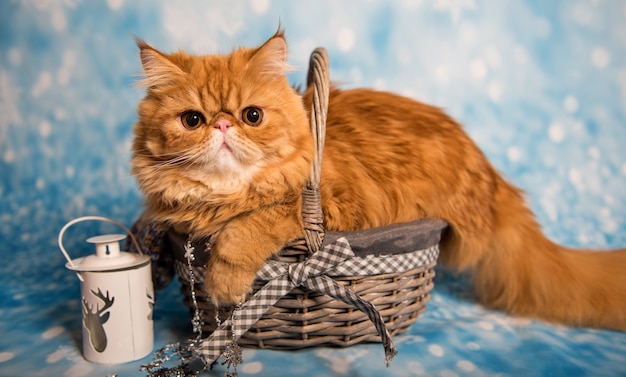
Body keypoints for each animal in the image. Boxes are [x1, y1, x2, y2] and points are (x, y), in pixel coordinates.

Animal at [132, 30, 624, 328]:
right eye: (192, 120)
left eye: (252, 116)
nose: (222, 126)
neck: (227, 195)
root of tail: (493, 180)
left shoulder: (332, 206)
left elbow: (251, 225)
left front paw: (225, 280)